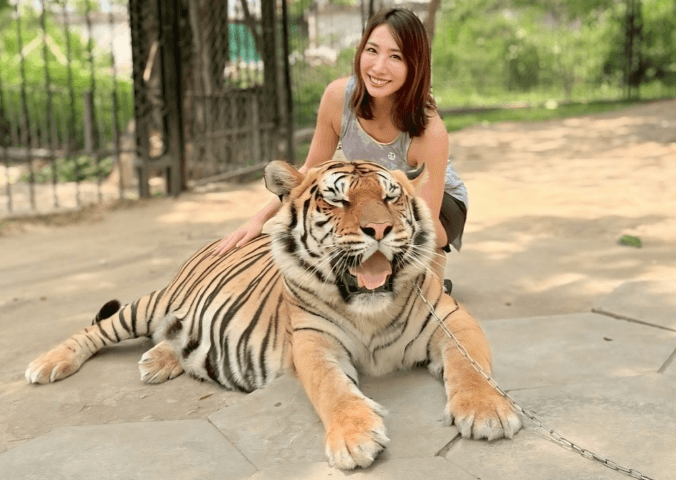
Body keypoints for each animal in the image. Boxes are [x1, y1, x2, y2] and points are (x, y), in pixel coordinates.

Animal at [25, 159, 521, 469]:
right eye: (337, 200)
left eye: (391, 198)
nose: (379, 229)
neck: (370, 310)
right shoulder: (312, 341)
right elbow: (332, 390)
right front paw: (355, 437)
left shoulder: (451, 320)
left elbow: (471, 368)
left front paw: (488, 412)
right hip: (151, 303)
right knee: (97, 329)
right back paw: (46, 364)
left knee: (174, 338)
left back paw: (159, 361)